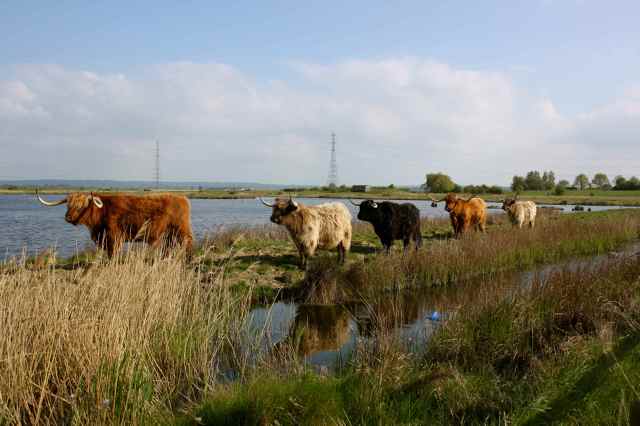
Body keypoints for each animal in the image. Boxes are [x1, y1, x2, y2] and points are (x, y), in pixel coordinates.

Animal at [36, 190, 193, 258]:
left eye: (80, 207)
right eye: (68, 205)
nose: (67, 218)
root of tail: (182, 197)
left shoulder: (114, 237)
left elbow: (113, 254)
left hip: (182, 230)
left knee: (188, 243)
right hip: (169, 234)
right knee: (169, 247)